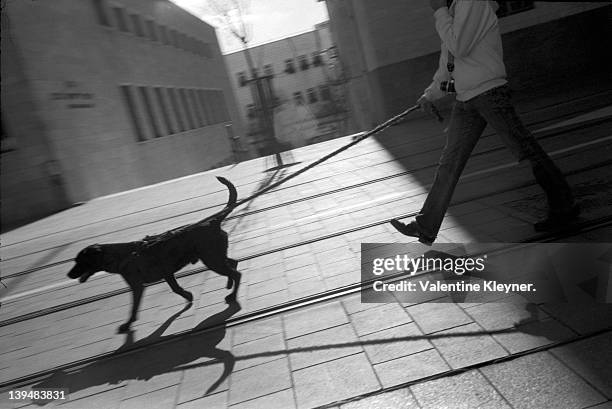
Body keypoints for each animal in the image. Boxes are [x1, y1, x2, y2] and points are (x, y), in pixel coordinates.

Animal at [67, 175, 239, 332]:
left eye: (80, 261)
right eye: (75, 260)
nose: (69, 275)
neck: (121, 255)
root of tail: (212, 222)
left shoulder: (138, 286)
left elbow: (134, 307)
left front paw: (128, 324)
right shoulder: (167, 273)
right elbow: (176, 289)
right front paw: (188, 296)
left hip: (212, 260)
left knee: (236, 272)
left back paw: (232, 294)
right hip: (214, 256)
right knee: (233, 264)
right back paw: (229, 284)